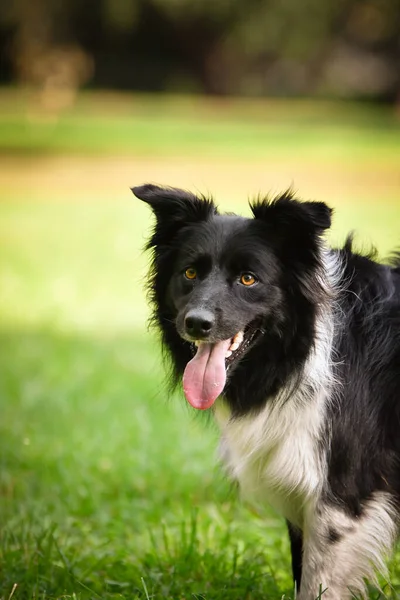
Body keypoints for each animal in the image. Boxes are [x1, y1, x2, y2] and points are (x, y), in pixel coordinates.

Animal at [132, 183, 400, 600]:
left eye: (248, 279)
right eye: (190, 272)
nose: (195, 323)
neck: (306, 347)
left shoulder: (343, 490)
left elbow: (317, 581)